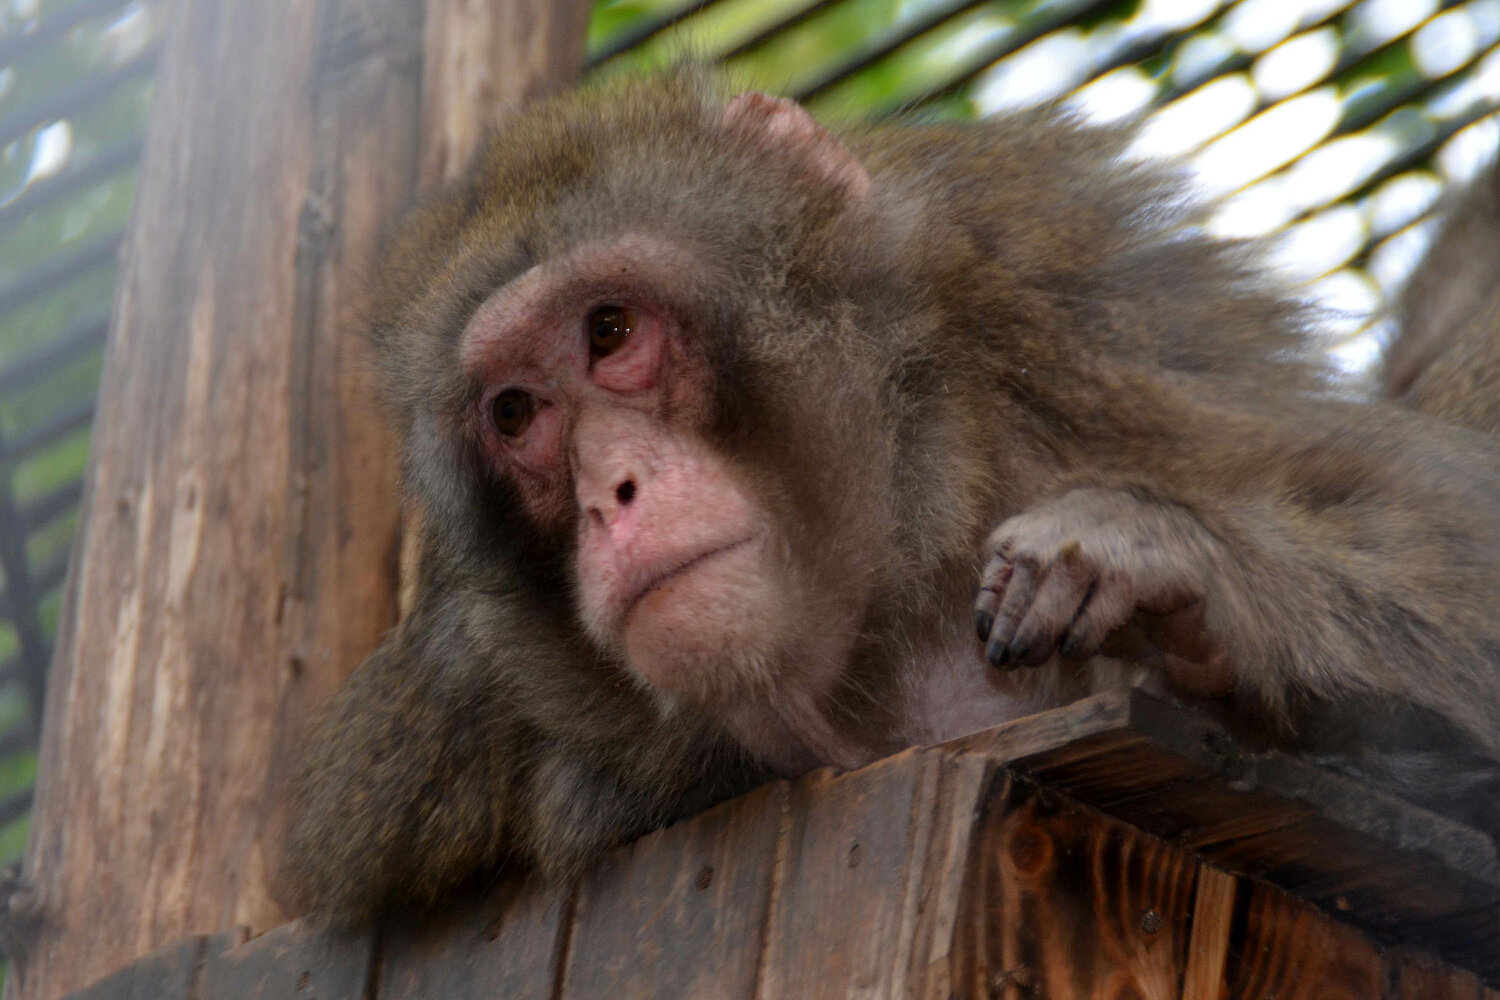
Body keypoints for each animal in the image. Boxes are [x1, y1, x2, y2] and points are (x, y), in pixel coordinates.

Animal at [278, 70, 1500, 923]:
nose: (612, 495)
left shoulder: (1080, 316)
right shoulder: (451, 709)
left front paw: (1161, 559)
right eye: (516, 413)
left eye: (611, 331)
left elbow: (1454, 528)